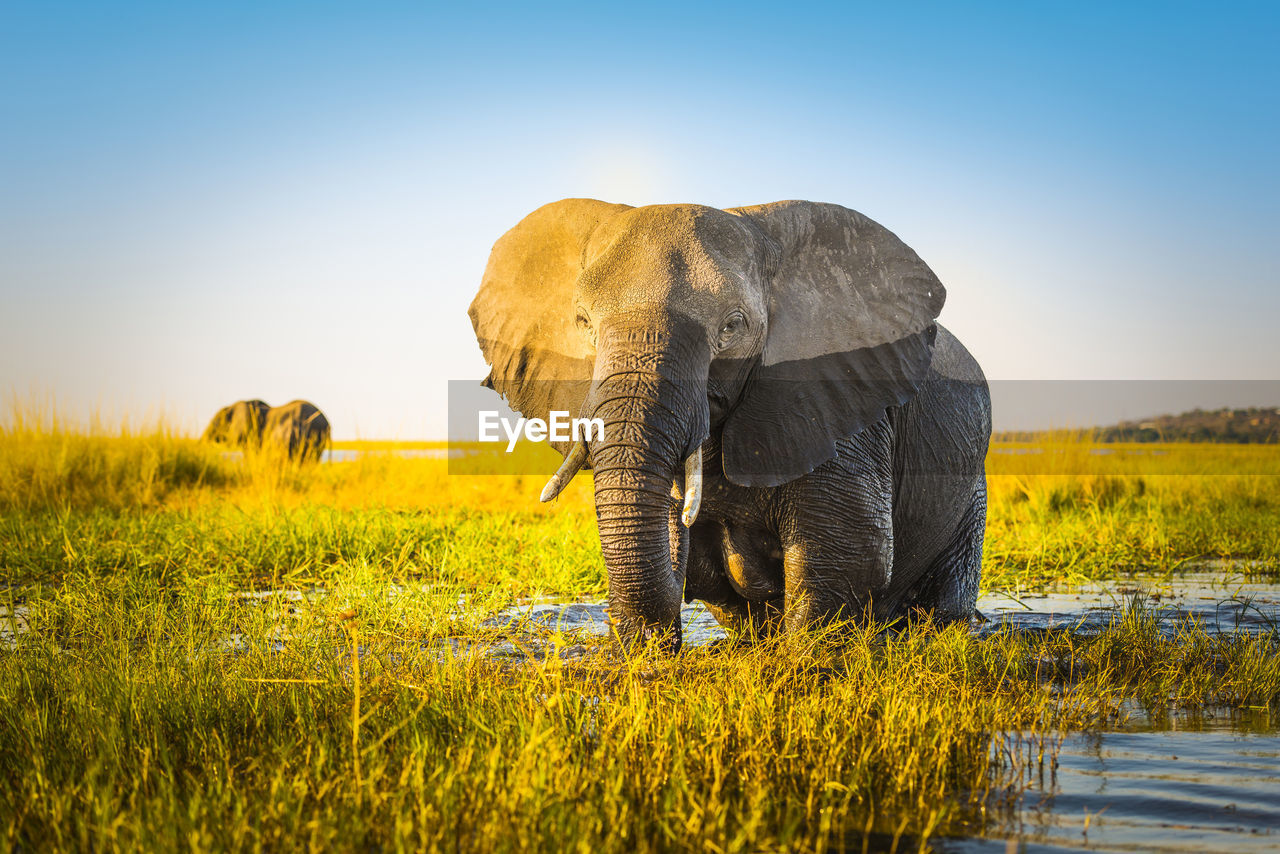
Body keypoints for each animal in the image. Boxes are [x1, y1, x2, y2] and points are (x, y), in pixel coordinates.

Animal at [468, 202, 988, 655]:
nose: (642, 647)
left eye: (732, 326)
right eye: (582, 322)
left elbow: (850, 550)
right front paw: (643, 657)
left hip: (972, 490)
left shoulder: (839, 399)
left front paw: (804, 662)